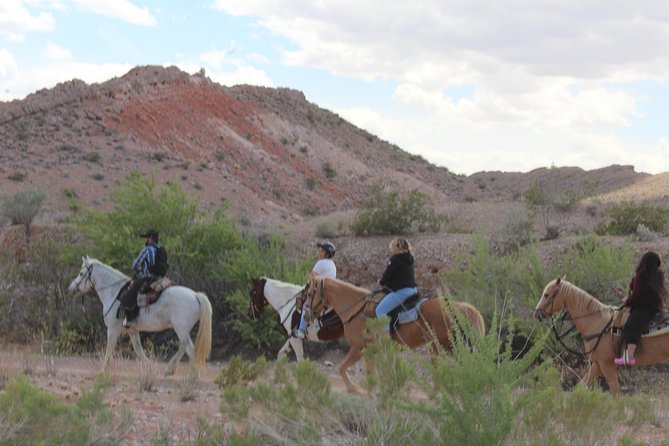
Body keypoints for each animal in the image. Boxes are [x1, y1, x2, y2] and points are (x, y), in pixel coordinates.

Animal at [67, 256, 211, 374]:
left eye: (81, 273)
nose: (71, 288)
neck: (114, 292)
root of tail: (195, 295)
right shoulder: (132, 330)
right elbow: (138, 350)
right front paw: (150, 366)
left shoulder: (113, 328)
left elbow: (109, 349)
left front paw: (103, 370)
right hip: (182, 330)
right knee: (188, 348)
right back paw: (187, 372)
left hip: (181, 329)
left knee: (187, 347)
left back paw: (179, 371)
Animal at [302, 274, 486, 392]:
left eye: (310, 293)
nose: (306, 315)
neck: (357, 309)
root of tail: (462, 307)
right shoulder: (369, 351)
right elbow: (368, 373)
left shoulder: (359, 347)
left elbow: (342, 368)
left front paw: (355, 389)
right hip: (438, 348)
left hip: (451, 347)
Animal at [536, 278, 668, 396]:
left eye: (546, 294)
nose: (536, 313)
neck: (597, 323)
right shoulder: (597, 364)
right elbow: (581, 386)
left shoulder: (606, 364)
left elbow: (616, 394)